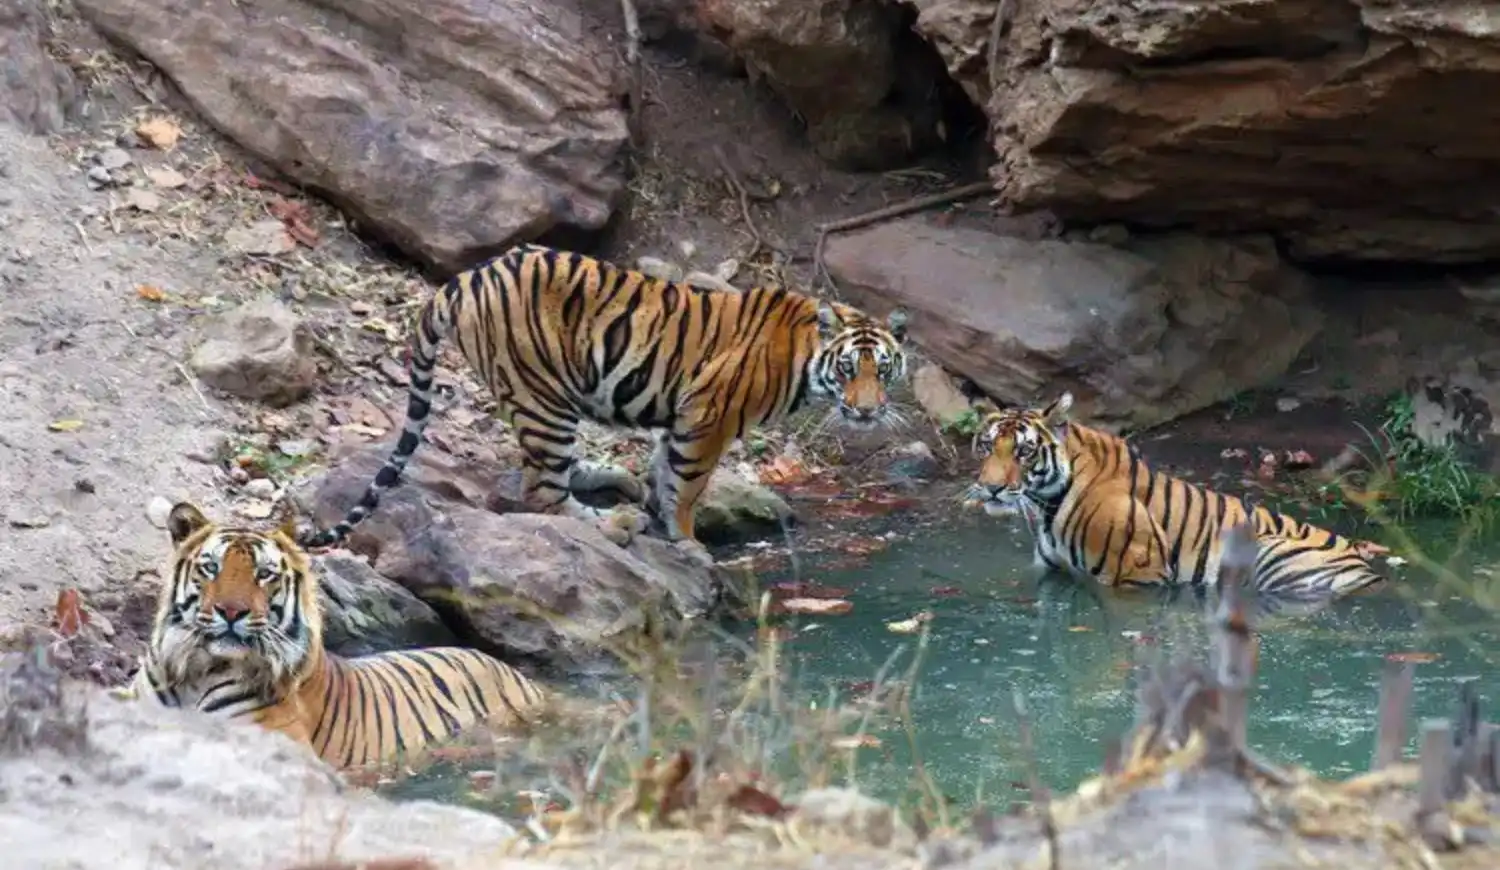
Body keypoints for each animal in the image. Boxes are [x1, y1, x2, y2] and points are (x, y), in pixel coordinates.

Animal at [298, 242, 910, 549]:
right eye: (849, 369)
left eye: (883, 371)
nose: (866, 410)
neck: (805, 354)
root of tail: (465, 277)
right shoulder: (706, 418)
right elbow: (687, 487)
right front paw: (689, 542)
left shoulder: (680, 418)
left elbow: (665, 472)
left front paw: (665, 522)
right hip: (545, 396)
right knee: (543, 495)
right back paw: (613, 523)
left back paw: (612, 484)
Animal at [966, 391, 1387, 605]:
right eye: (986, 446)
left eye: (1023, 452)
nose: (991, 487)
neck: (1048, 502)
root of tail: (1368, 568)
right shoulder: (1049, 569)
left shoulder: (1137, 575)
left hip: (1269, 550)